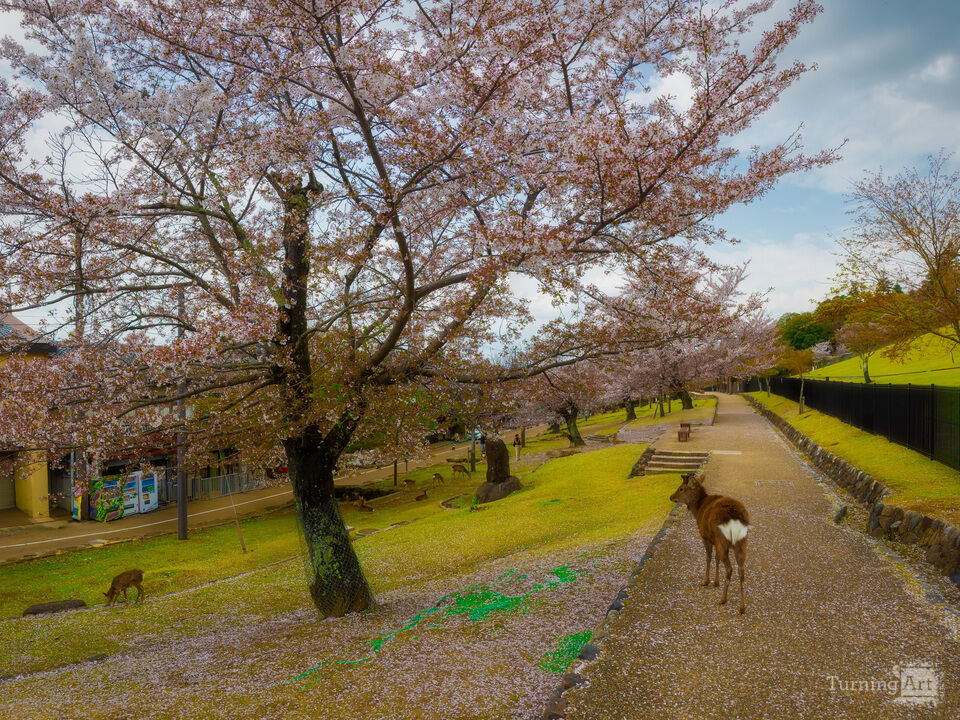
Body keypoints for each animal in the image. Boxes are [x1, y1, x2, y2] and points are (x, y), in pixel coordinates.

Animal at [669, 473, 750, 614]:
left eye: (681, 488)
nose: (671, 497)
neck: (698, 510)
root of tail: (735, 517)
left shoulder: (705, 536)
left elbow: (708, 557)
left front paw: (706, 581)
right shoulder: (714, 539)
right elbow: (716, 559)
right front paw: (716, 582)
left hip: (723, 540)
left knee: (729, 568)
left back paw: (723, 599)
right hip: (740, 542)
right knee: (741, 569)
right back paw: (742, 607)